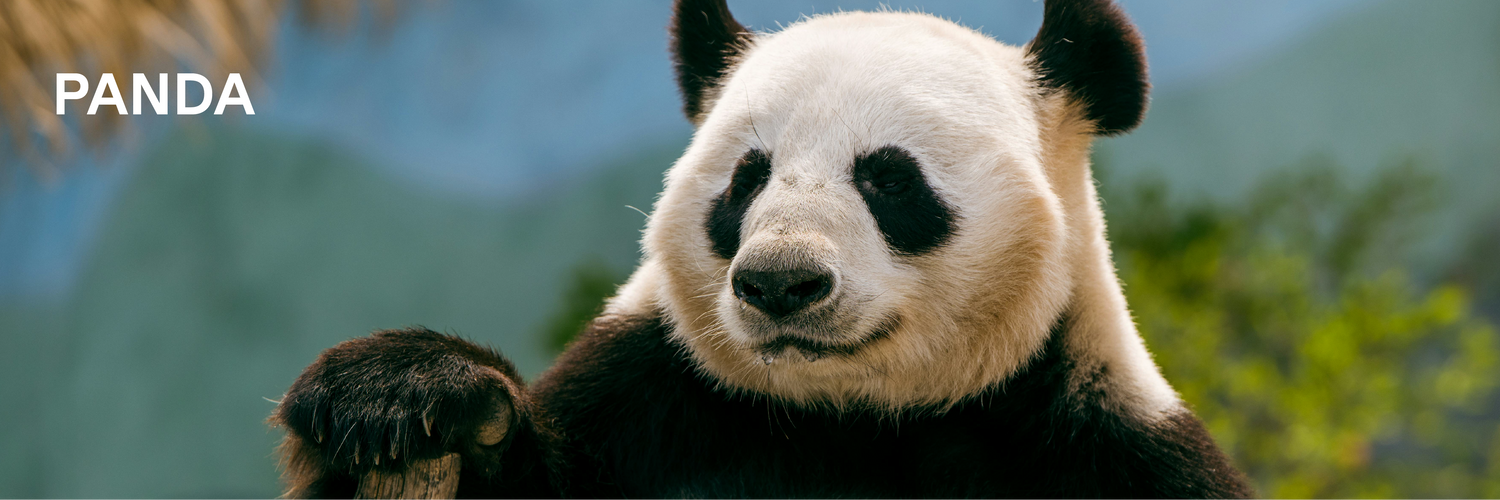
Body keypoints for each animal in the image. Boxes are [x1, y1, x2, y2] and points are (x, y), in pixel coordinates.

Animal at [271, 0, 1255, 498]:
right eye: (748, 178)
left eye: (889, 178)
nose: (781, 284)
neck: (851, 421)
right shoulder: (653, 403)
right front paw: (403, 392)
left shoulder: (1098, 446)